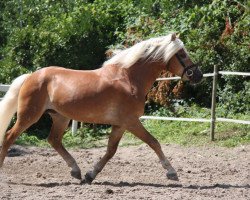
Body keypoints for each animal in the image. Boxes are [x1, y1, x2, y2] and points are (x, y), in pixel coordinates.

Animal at [0, 33, 202, 184]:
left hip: (60, 117)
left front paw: (90, 175)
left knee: (54, 140)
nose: (198, 75)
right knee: (9, 137)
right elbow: (154, 142)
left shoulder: (120, 125)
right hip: (29, 115)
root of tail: (31, 76)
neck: (129, 79)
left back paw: (76, 171)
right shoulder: (131, 122)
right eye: (182, 54)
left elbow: (111, 151)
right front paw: (172, 172)